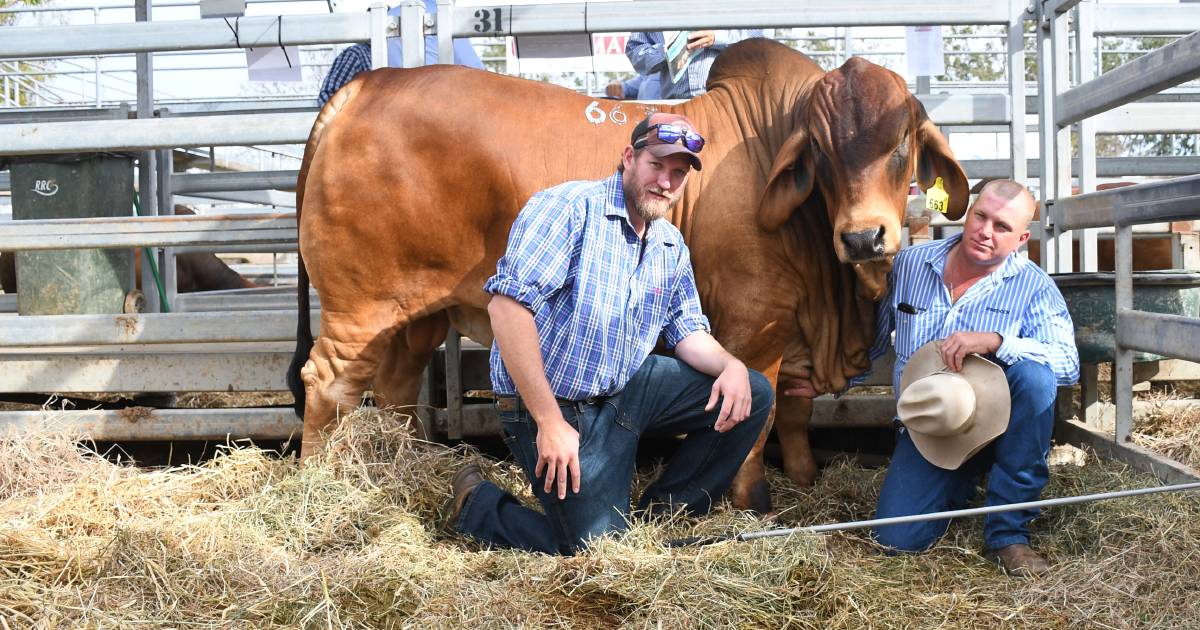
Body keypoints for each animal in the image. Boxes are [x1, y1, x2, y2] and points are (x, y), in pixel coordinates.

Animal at [285, 38, 969, 511]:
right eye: (822, 154)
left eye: (901, 145)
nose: (863, 236)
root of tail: (361, 89)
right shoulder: (757, 325)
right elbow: (760, 410)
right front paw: (752, 500)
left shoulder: (794, 328)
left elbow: (795, 414)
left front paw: (803, 477)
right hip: (360, 307)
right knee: (328, 382)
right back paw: (319, 482)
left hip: (414, 315)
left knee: (396, 388)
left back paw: (407, 466)